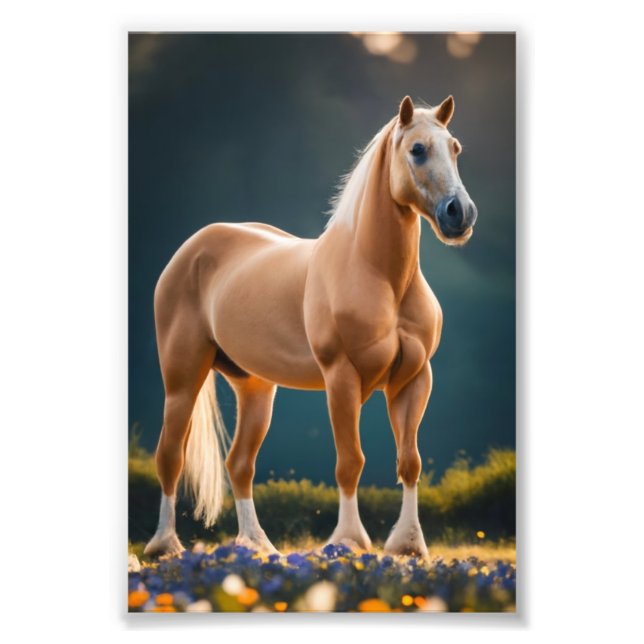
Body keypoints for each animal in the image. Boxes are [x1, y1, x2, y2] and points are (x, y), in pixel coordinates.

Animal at [143, 95, 478, 558]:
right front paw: (349, 540)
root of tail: (190, 249)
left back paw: (258, 546)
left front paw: (408, 543)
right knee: (170, 456)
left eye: (455, 147)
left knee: (239, 465)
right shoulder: (342, 378)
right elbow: (350, 461)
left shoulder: (414, 379)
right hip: (182, 378)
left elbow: (409, 461)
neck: (377, 274)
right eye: (417, 150)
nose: (459, 214)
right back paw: (164, 545)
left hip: (255, 388)